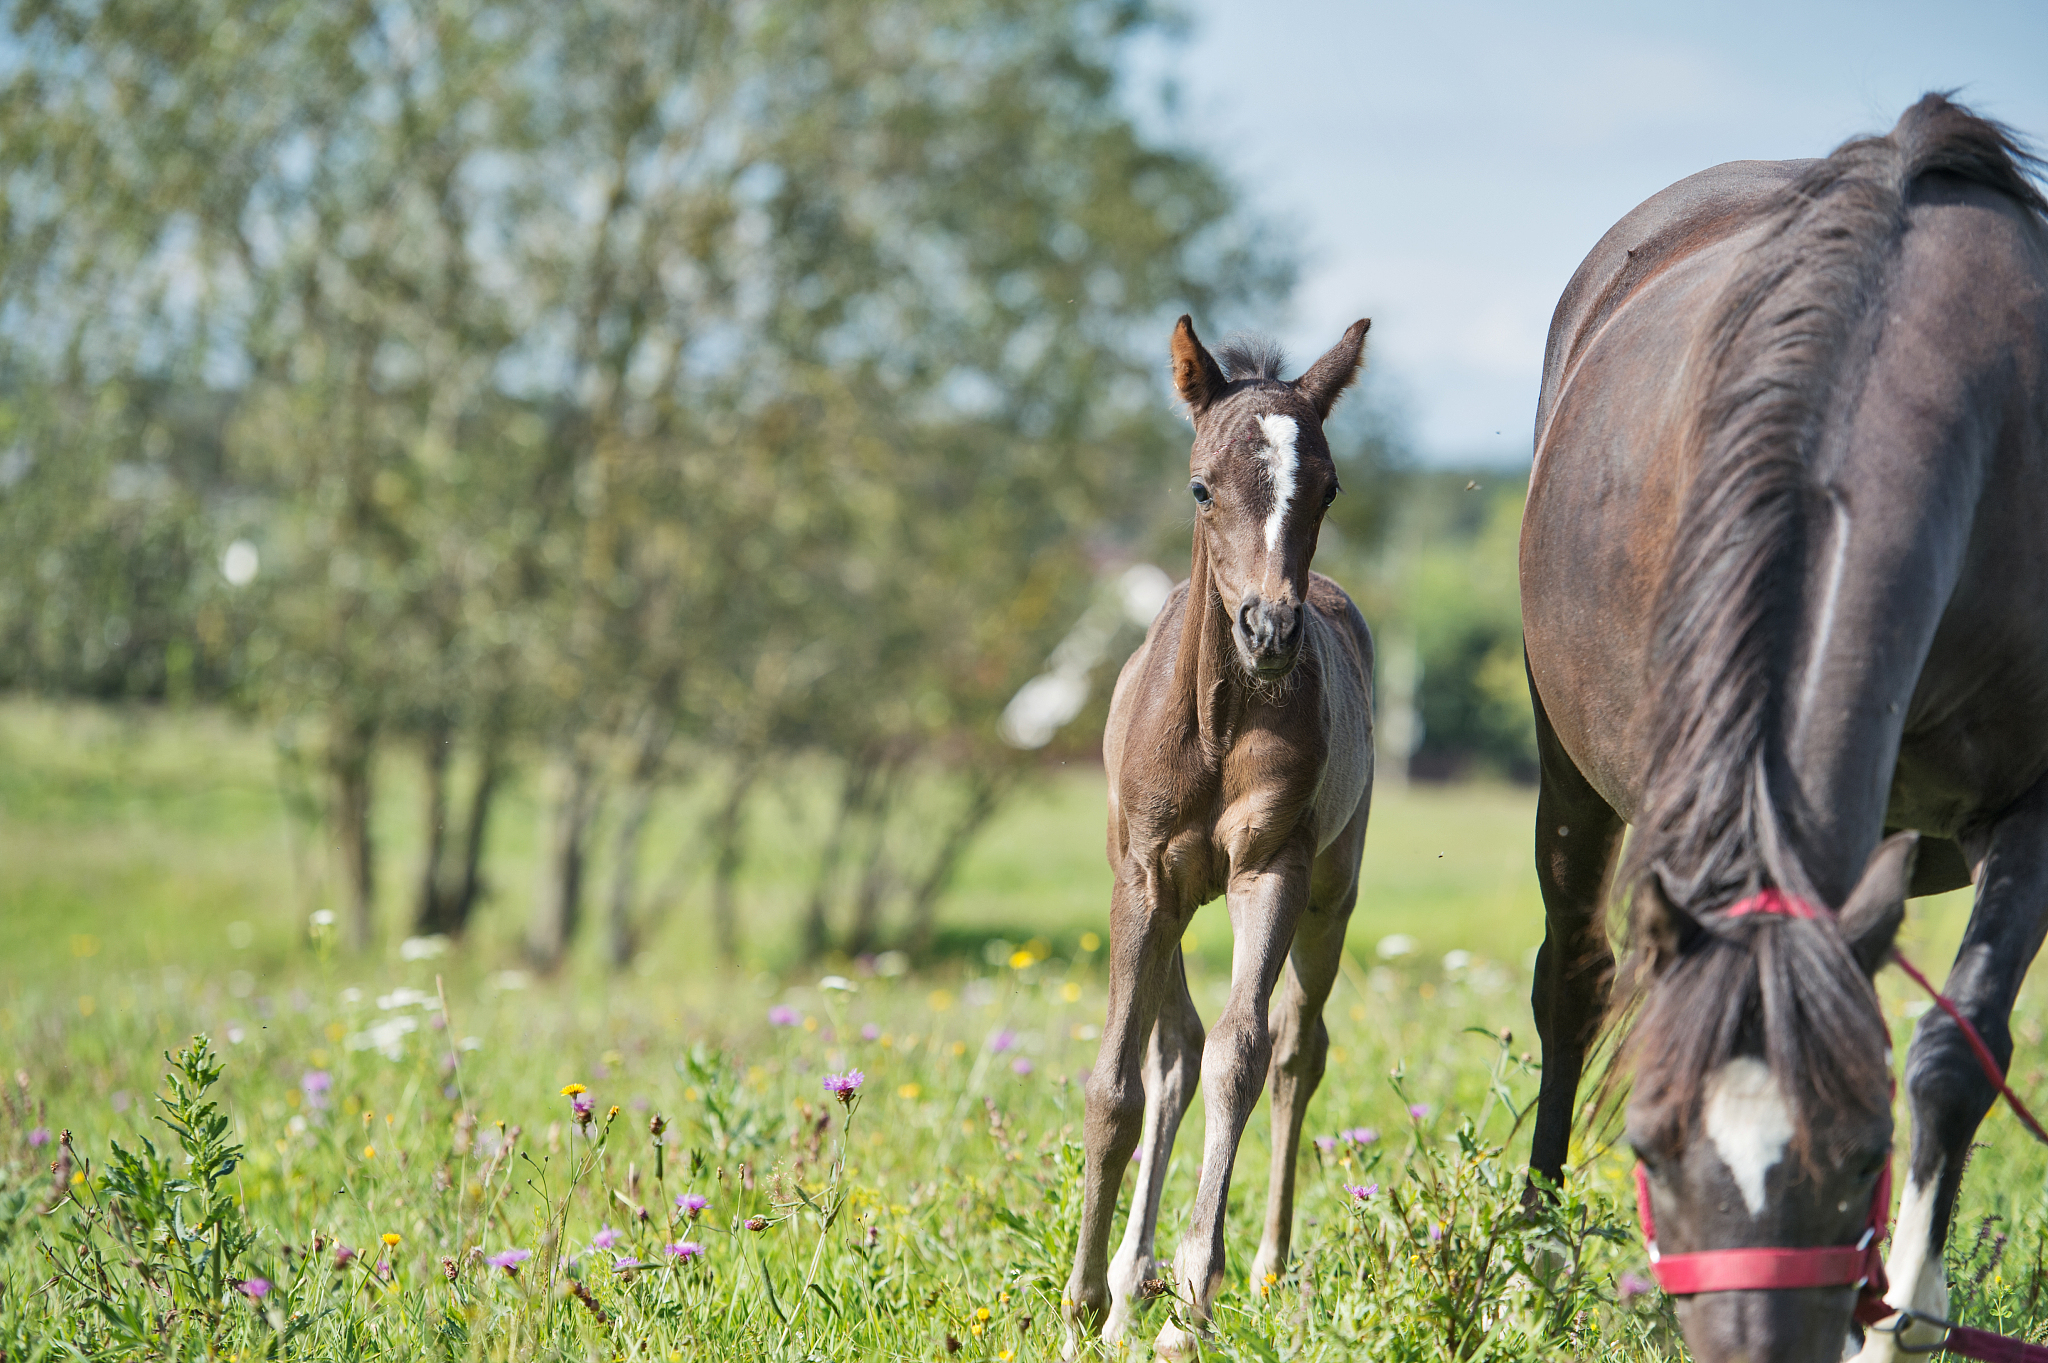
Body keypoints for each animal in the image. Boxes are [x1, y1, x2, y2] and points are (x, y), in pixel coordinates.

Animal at [1060, 315, 1375, 1357]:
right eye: (1203, 486)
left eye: (1328, 487)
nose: (1270, 630)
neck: (1215, 720)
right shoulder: (1143, 881)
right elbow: (1119, 1085)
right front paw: (1086, 1302)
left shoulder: (1269, 871)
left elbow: (1244, 1053)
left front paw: (1194, 1298)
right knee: (1175, 1053)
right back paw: (1127, 1282)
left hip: (1331, 894)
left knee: (1293, 1049)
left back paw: (1265, 1268)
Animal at [1519, 93, 2048, 1363]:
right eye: (1650, 1145)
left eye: (1858, 1154)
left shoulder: (2033, 802)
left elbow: (1957, 1047)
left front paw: (1902, 1315)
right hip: (1568, 775)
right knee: (1570, 981)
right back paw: (1531, 1256)